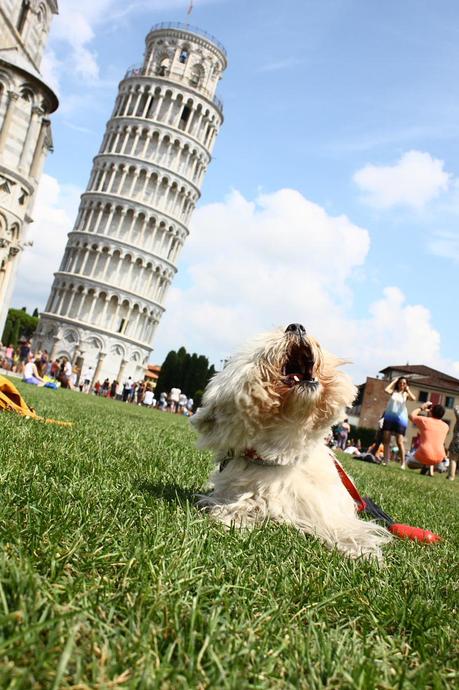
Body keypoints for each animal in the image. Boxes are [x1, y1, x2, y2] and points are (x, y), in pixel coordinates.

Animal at [192, 324, 394, 560]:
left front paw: (359, 548)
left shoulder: (327, 507)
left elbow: (340, 525)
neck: (283, 455)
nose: (296, 326)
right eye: (260, 349)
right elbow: (244, 505)